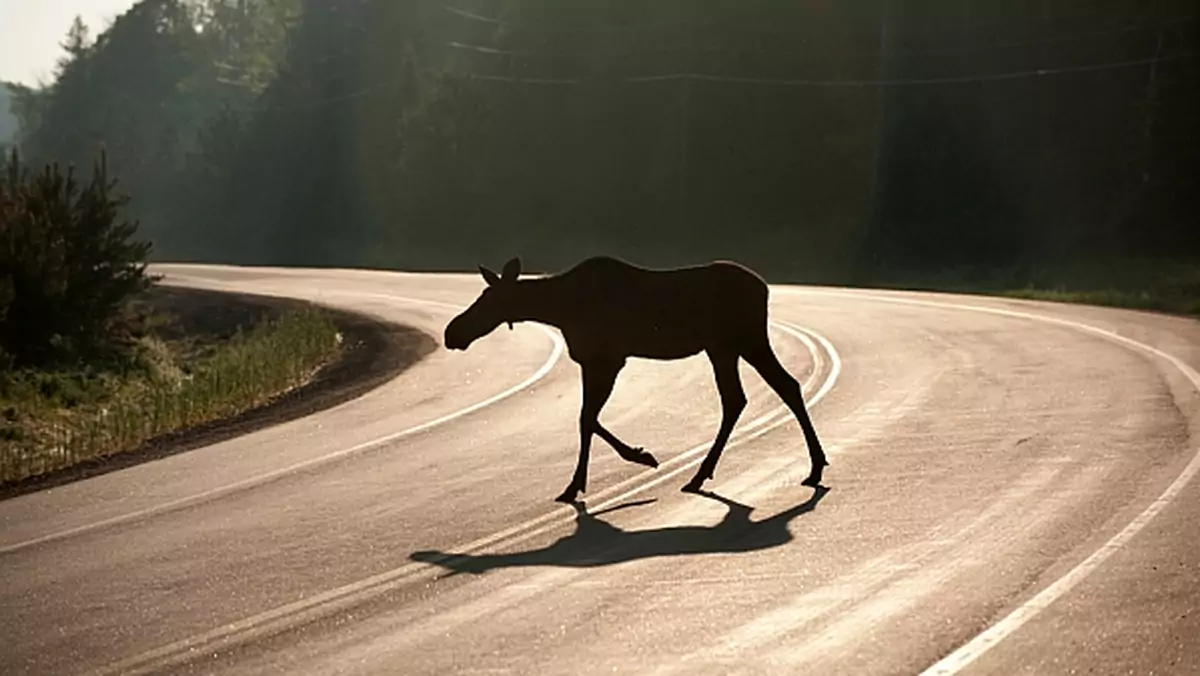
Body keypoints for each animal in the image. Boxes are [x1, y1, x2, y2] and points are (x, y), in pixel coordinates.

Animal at [446, 256, 830, 504]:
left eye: (488, 300)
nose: (452, 332)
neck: (559, 309)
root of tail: (766, 288)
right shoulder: (592, 361)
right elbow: (587, 419)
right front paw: (581, 482)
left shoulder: (609, 359)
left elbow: (587, 419)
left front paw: (635, 459)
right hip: (725, 346)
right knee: (758, 393)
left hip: (742, 340)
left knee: (766, 391)